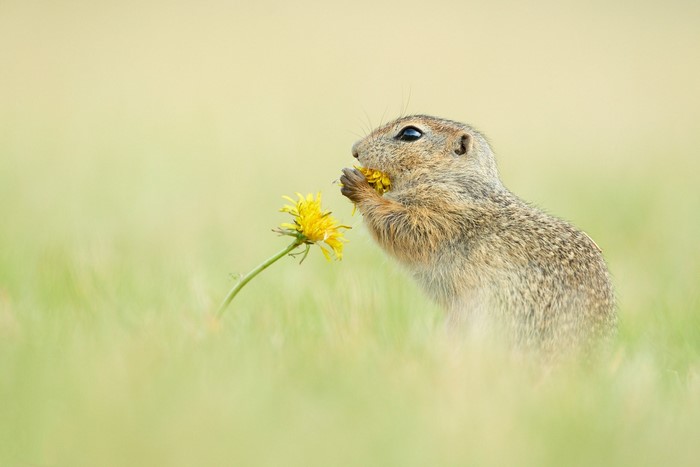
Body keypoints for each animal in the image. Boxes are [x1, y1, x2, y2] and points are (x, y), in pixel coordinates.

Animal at [340, 115, 616, 353]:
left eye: (410, 134)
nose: (355, 149)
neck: (454, 180)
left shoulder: (444, 213)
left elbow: (403, 228)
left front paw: (358, 186)